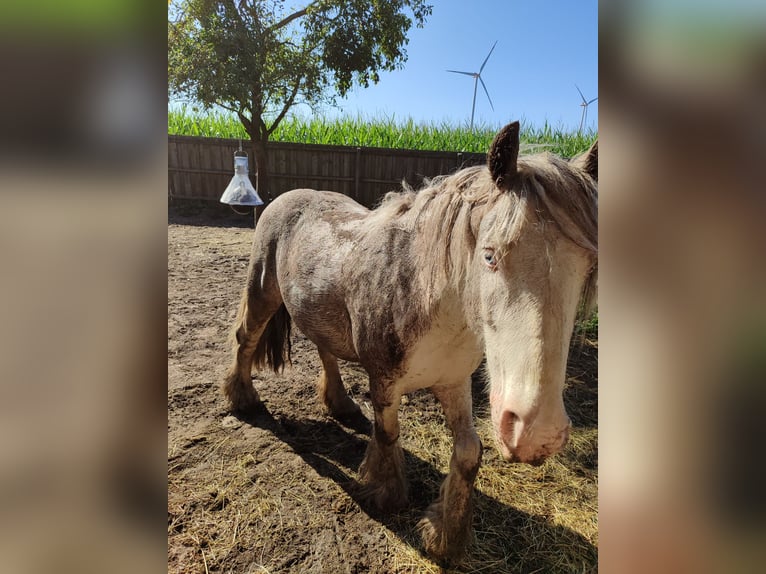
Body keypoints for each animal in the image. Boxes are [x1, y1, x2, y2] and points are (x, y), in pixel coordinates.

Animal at [222, 122, 600, 568]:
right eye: (490, 256)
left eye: (588, 269)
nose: (537, 433)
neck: (431, 300)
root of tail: (288, 197)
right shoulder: (384, 381)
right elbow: (388, 434)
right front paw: (386, 494)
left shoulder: (454, 382)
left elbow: (469, 453)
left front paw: (446, 535)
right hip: (263, 292)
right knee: (246, 340)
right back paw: (243, 399)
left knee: (324, 349)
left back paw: (340, 404)